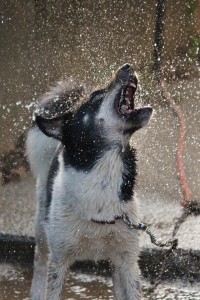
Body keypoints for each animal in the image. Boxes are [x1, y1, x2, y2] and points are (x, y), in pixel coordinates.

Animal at [25, 62, 152, 298]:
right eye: (95, 96)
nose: (126, 65)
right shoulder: (59, 261)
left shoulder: (128, 260)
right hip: (41, 223)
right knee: (39, 260)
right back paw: (36, 291)